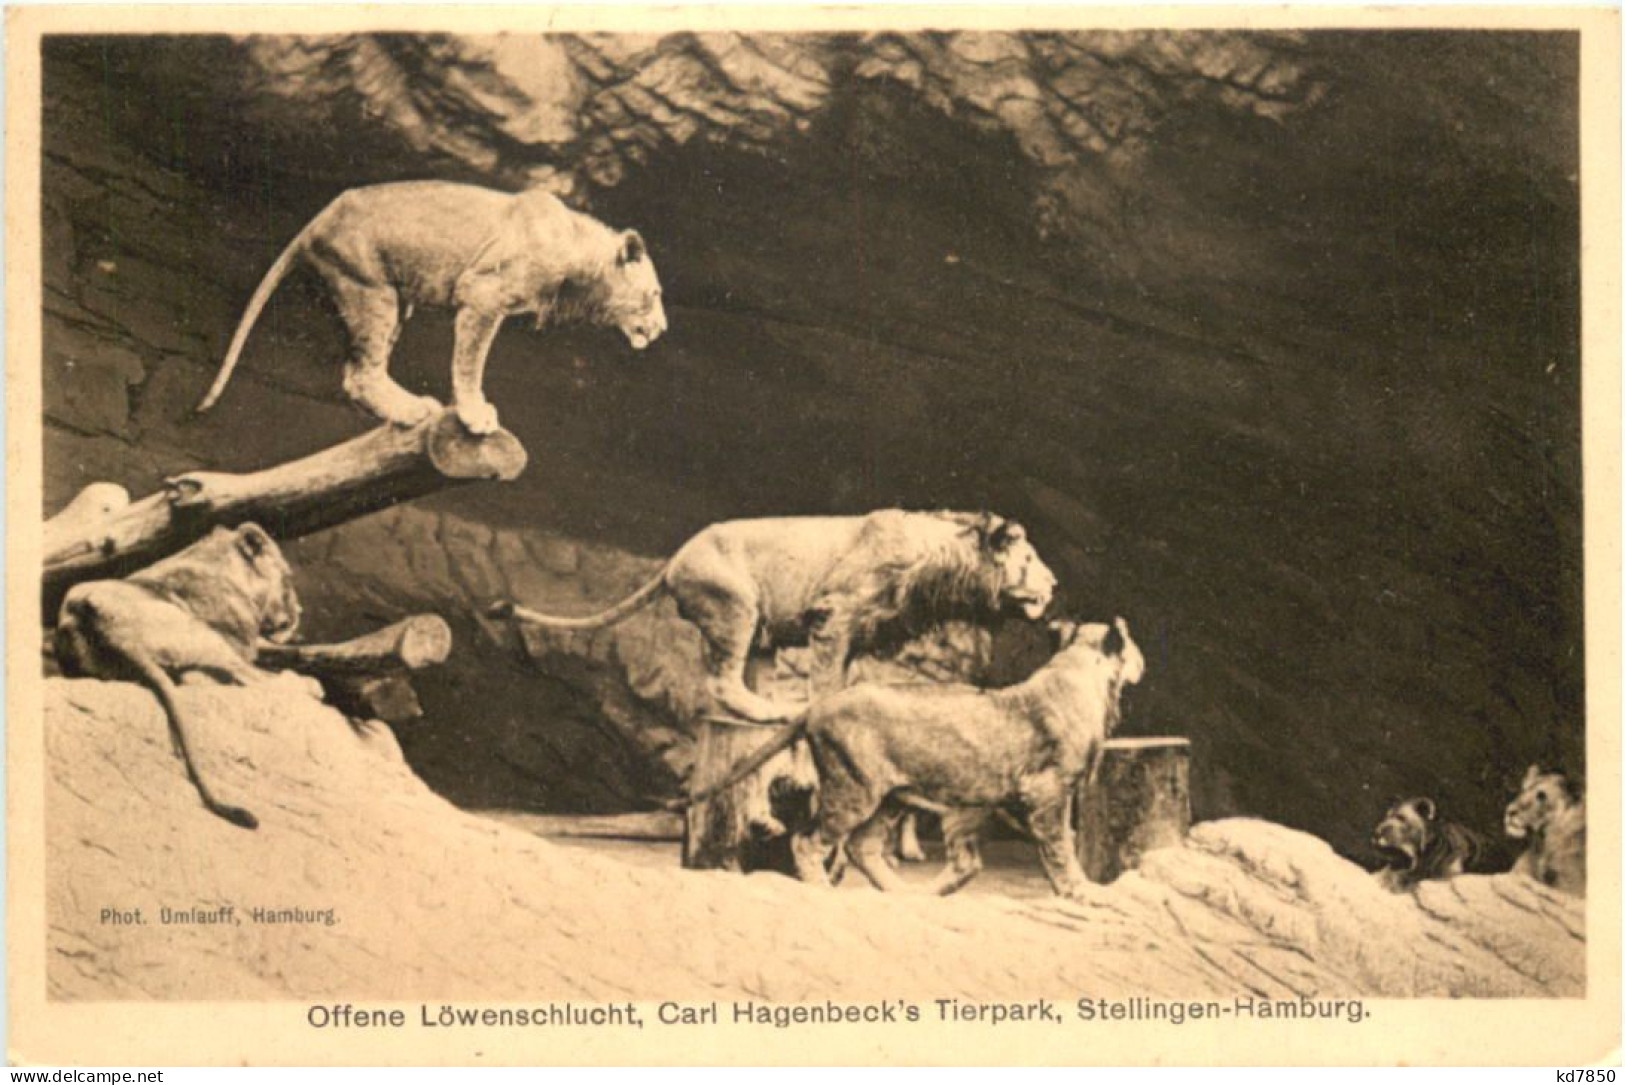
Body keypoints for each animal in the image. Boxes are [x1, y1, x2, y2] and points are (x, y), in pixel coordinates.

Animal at [56, 519, 313, 825]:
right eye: (287, 577)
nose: (300, 611)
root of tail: (95, 615)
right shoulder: (237, 643)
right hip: (200, 633)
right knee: (251, 681)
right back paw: (311, 685)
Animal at [193, 180, 663, 435]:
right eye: (656, 294)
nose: (663, 329)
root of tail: (319, 217)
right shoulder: (482, 292)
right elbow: (470, 361)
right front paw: (475, 414)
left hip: (396, 302)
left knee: (359, 370)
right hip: (371, 288)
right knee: (361, 375)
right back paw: (413, 409)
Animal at [487, 506, 1059, 724]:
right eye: (1030, 560)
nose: (1055, 585)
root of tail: (674, 559)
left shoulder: (857, 631)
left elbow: (842, 678)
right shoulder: (834, 614)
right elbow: (826, 684)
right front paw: (820, 713)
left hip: (758, 631)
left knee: (740, 678)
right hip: (734, 605)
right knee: (720, 683)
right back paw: (774, 715)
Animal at [679, 617, 1150, 896]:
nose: (1144, 663)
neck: (1079, 674)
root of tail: (816, 707)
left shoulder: (976, 799)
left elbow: (968, 860)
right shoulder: (1047, 791)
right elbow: (1058, 847)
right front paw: (1080, 891)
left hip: (890, 797)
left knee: (862, 848)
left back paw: (901, 895)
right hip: (854, 790)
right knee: (809, 841)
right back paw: (823, 889)